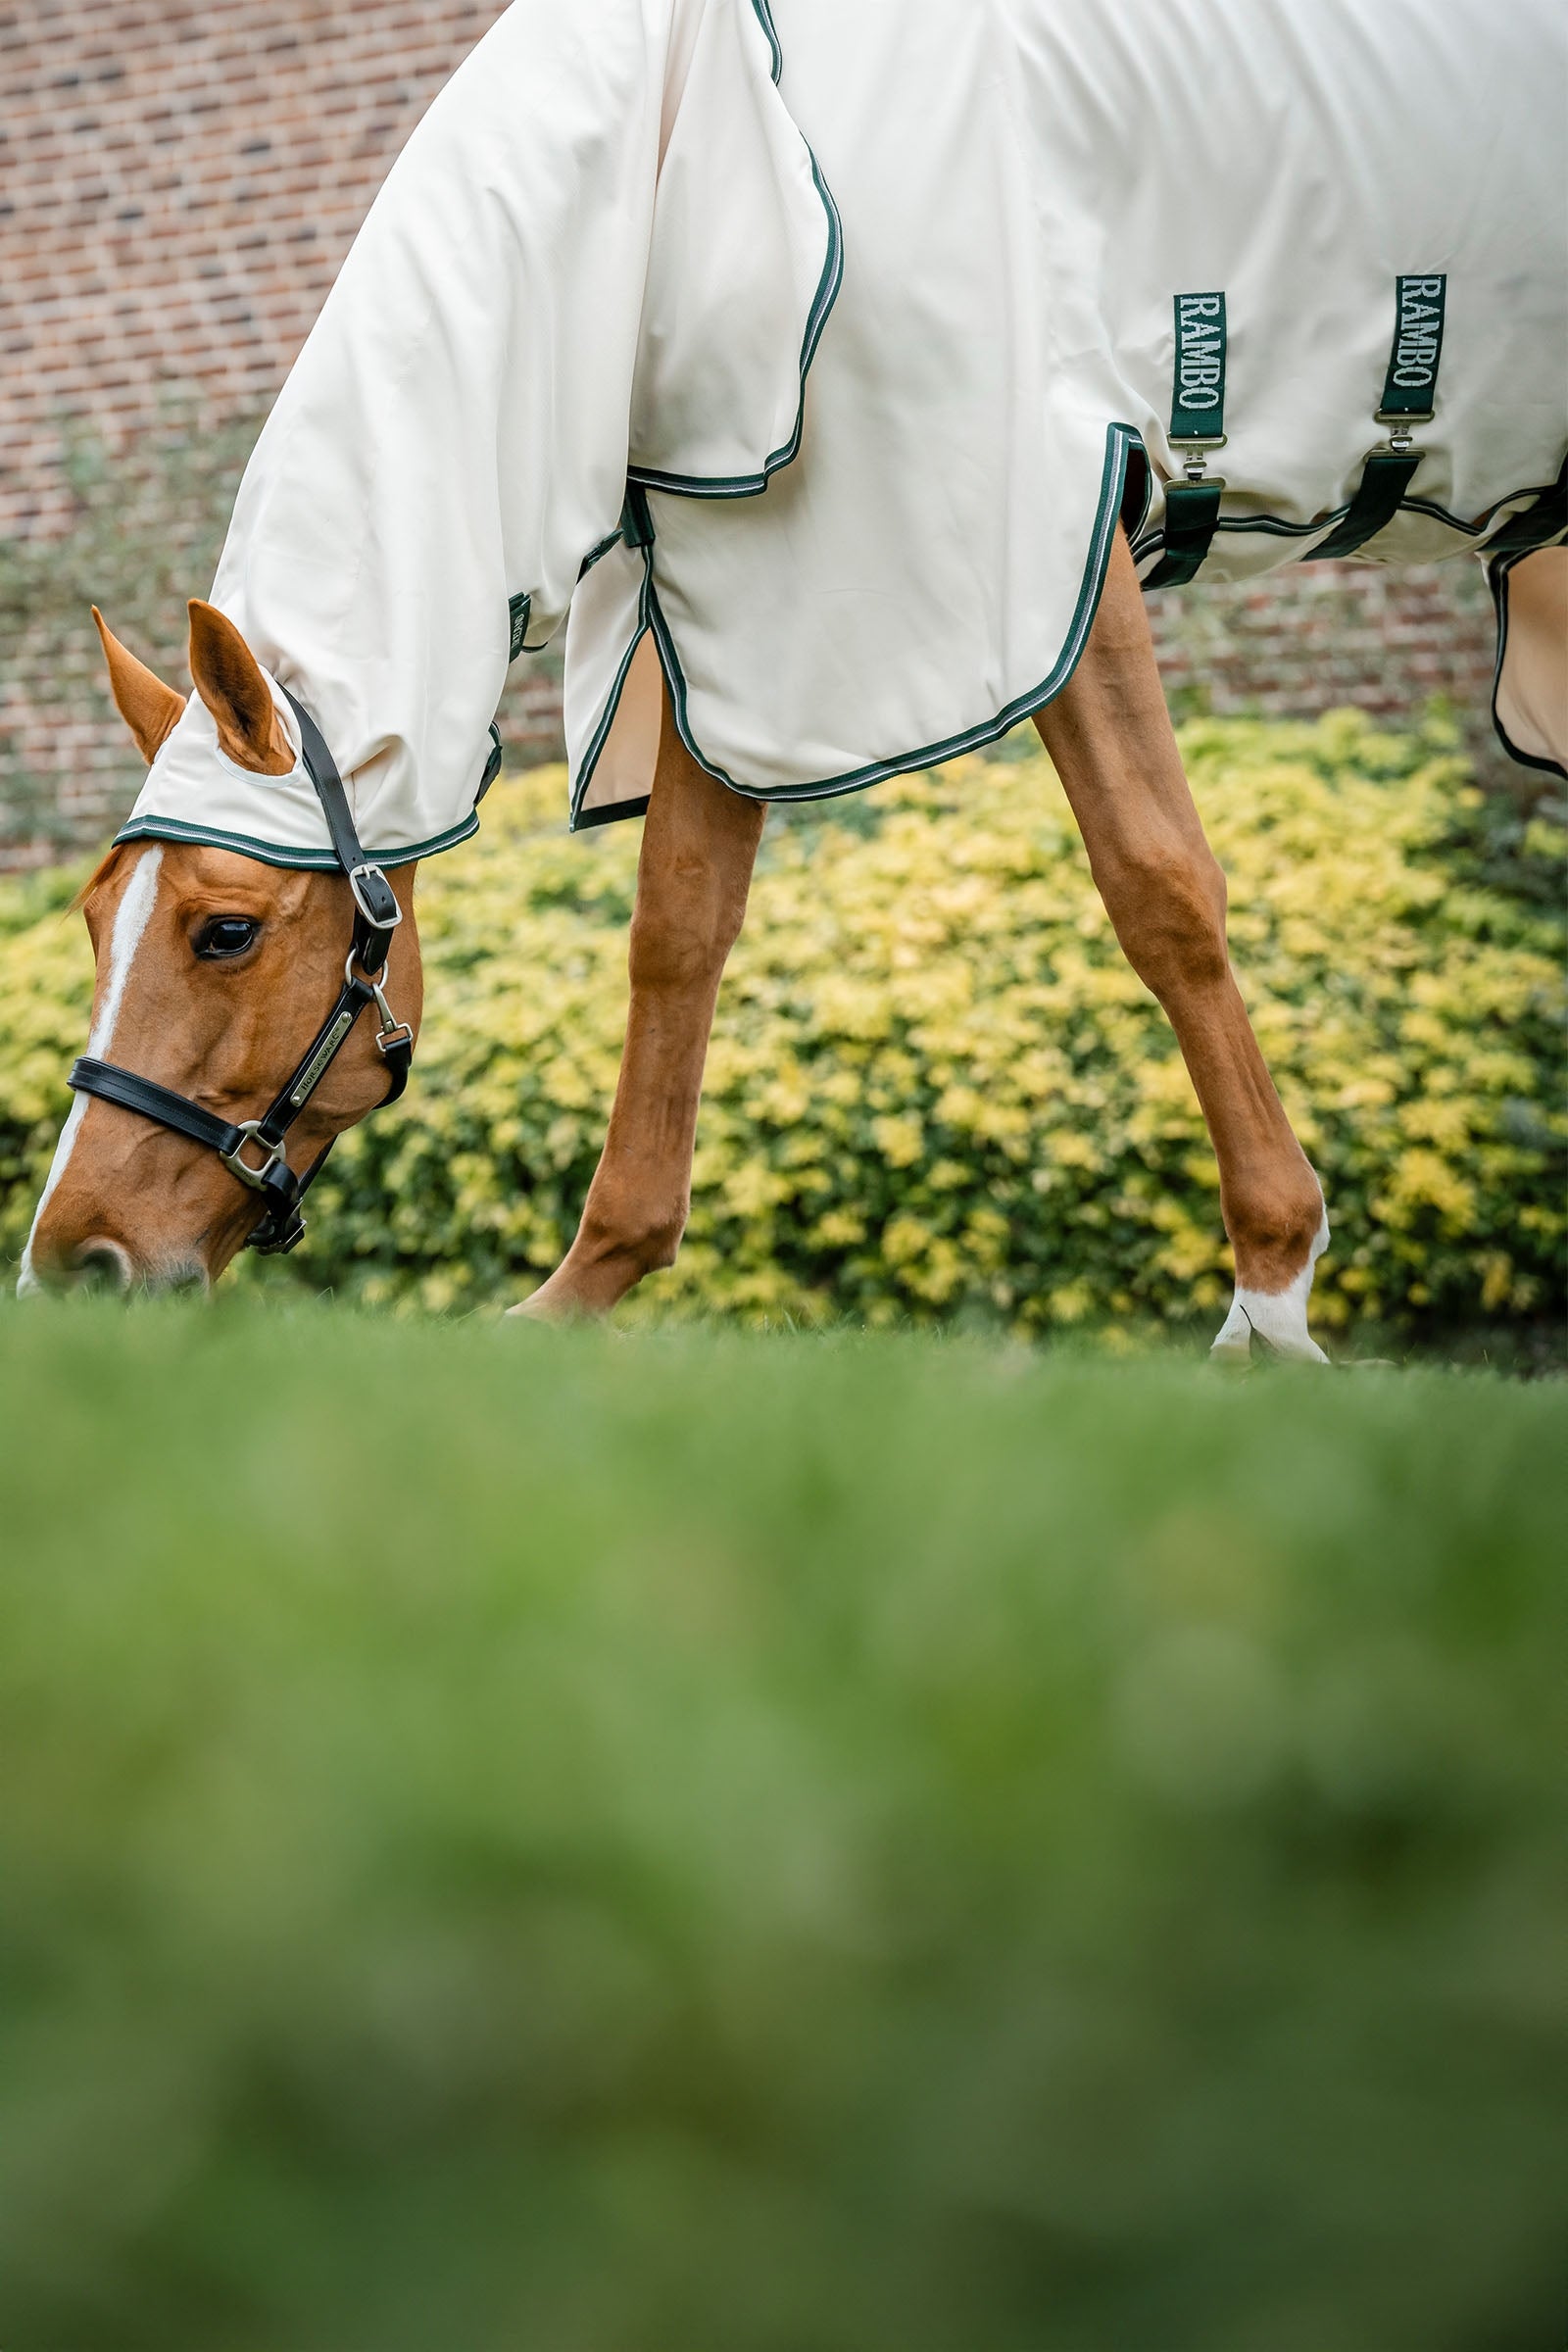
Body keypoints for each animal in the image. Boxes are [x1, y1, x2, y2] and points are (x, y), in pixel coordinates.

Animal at [19, 0, 1568, 1361]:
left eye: (223, 931)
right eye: (94, 919)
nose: (71, 1266)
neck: (680, 172)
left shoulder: (1047, 547)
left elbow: (1160, 887)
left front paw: (1275, 1295)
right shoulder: (737, 618)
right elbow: (676, 939)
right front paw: (579, 1294)